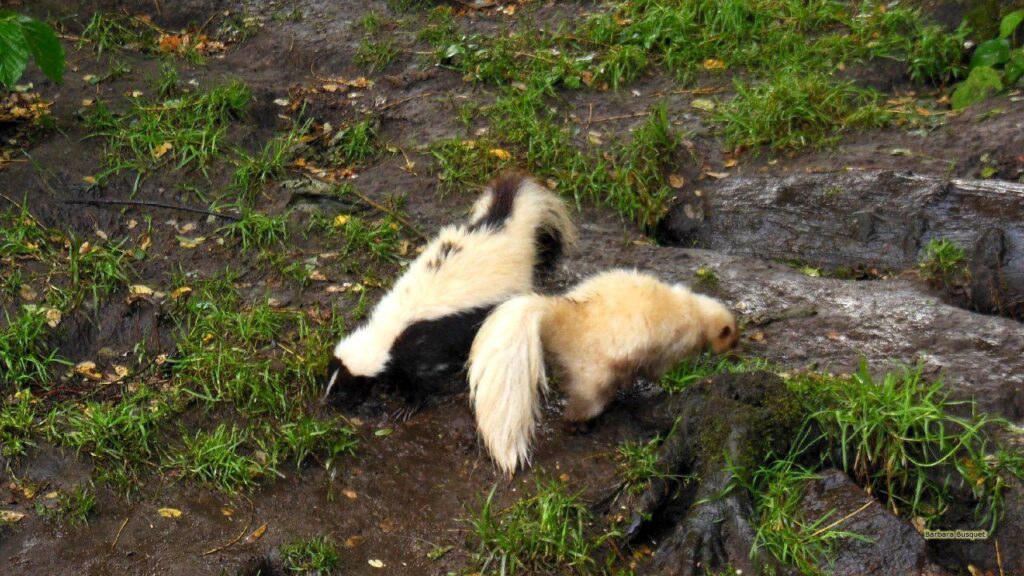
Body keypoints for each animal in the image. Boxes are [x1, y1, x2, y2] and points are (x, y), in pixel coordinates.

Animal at [321, 172, 577, 409]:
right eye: (329, 378)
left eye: (344, 388)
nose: (325, 400)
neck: (386, 332)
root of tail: (502, 231)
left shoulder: (423, 346)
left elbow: (424, 377)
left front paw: (409, 405)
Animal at [468, 268, 741, 471]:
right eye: (730, 339)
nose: (735, 352)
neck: (695, 311)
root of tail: (561, 316)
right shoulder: (673, 341)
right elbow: (659, 368)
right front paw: (671, 382)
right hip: (591, 368)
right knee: (586, 399)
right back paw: (578, 425)